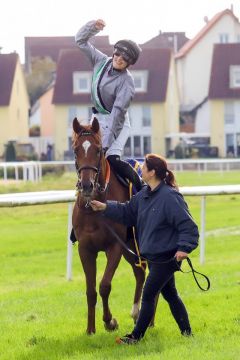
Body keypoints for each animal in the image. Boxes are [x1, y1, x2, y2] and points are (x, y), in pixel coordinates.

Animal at [71, 118, 146, 334]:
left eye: (98, 150)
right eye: (75, 150)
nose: (86, 185)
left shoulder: (115, 246)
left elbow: (105, 285)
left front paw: (110, 321)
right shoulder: (85, 249)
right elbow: (90, 290)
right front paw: (90, 329)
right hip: (130, 247)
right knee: (140, 272)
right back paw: (137, 314)